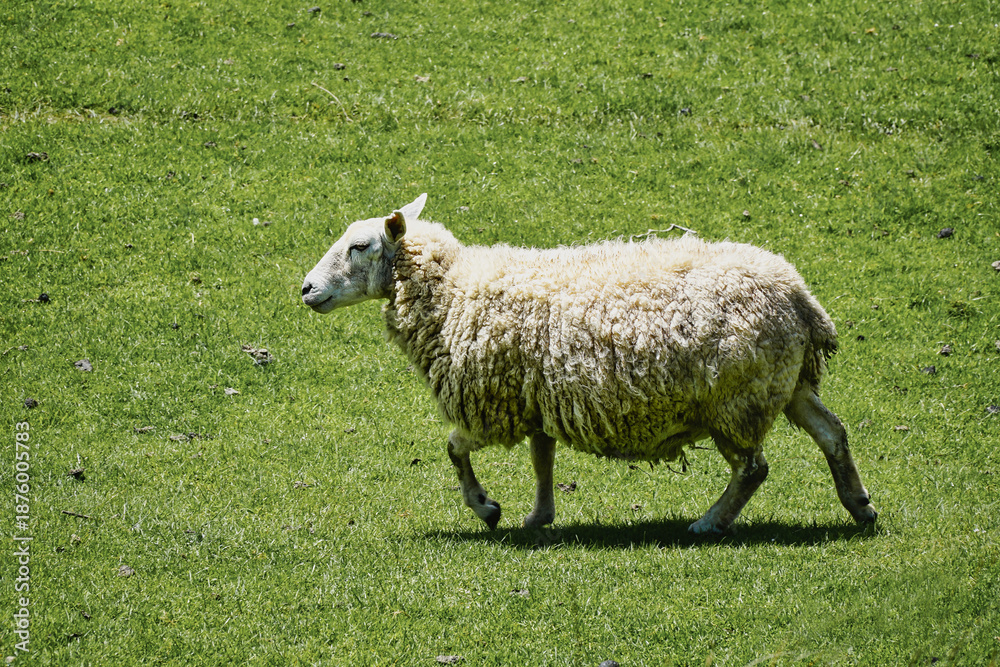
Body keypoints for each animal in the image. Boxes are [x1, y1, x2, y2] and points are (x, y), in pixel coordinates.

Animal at [301, 194, 877, 534]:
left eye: (359, 246)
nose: (306, 289)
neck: (454, 288)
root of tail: (800, 298)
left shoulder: (492, 403)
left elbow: (453, 448)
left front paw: (487, 507)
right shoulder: (533, 397)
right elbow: (542, 460)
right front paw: (539, 517)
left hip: (737, 397)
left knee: (754, 468)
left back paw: (710, 523)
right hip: (785, 382)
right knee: (832, 432)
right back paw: (859, 504)